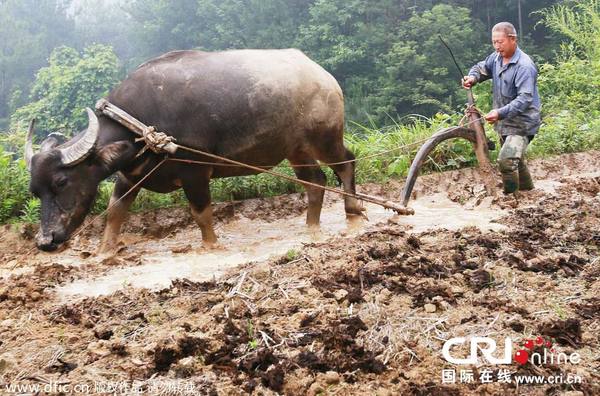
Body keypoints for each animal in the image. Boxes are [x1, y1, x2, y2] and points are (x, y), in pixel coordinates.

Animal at [24, 48, 360, 251]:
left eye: (62, 182)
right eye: (35, 191)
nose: (46, 241)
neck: (141, 122)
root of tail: (323, 75)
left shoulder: (194, 170)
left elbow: (201, 212)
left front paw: (211, 245)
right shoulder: (130, 174)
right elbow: (115, 210)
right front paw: (105, 253)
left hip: (325, 139)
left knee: (346, 163)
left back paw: (354, 216)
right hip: (296, 149)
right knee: (315, 181)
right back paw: (312, 227)